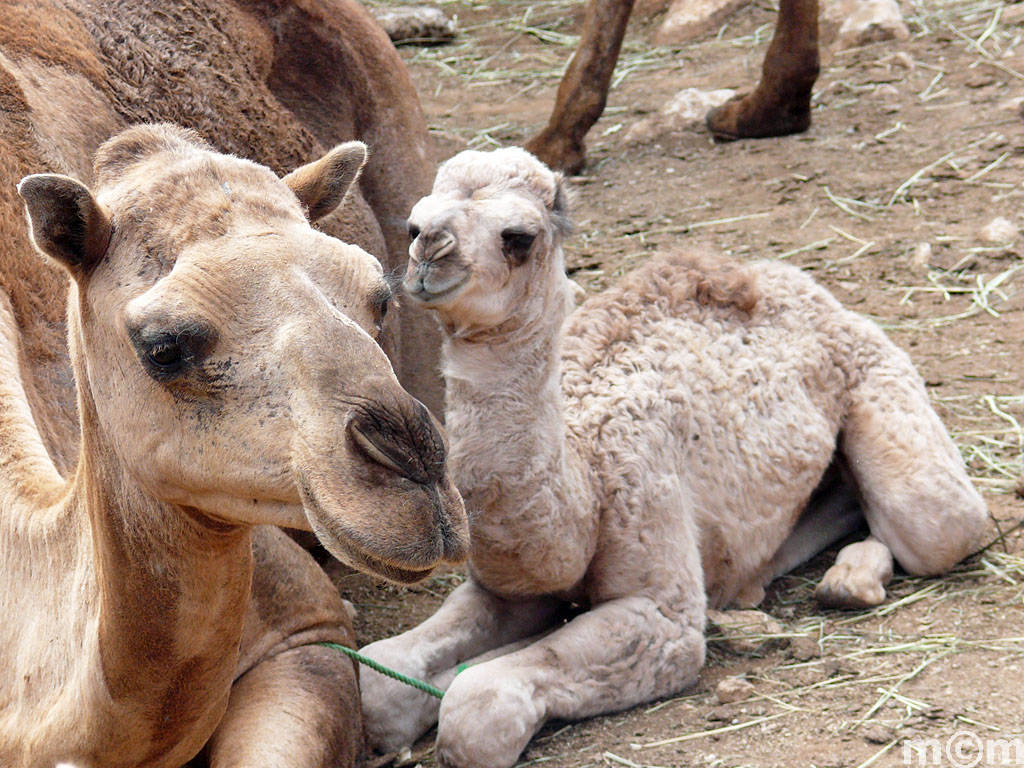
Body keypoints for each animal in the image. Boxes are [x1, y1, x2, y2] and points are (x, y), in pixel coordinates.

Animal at [362, 147, 991, 765]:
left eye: (518, 236)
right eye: (413, 223)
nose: (429, 251)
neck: (585, 479)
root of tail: (807, 286)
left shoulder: (659, 594)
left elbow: (477, 707)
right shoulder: (506, 587)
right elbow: (380, 682)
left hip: (879, 374)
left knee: (938, 523)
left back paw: (848, 581)